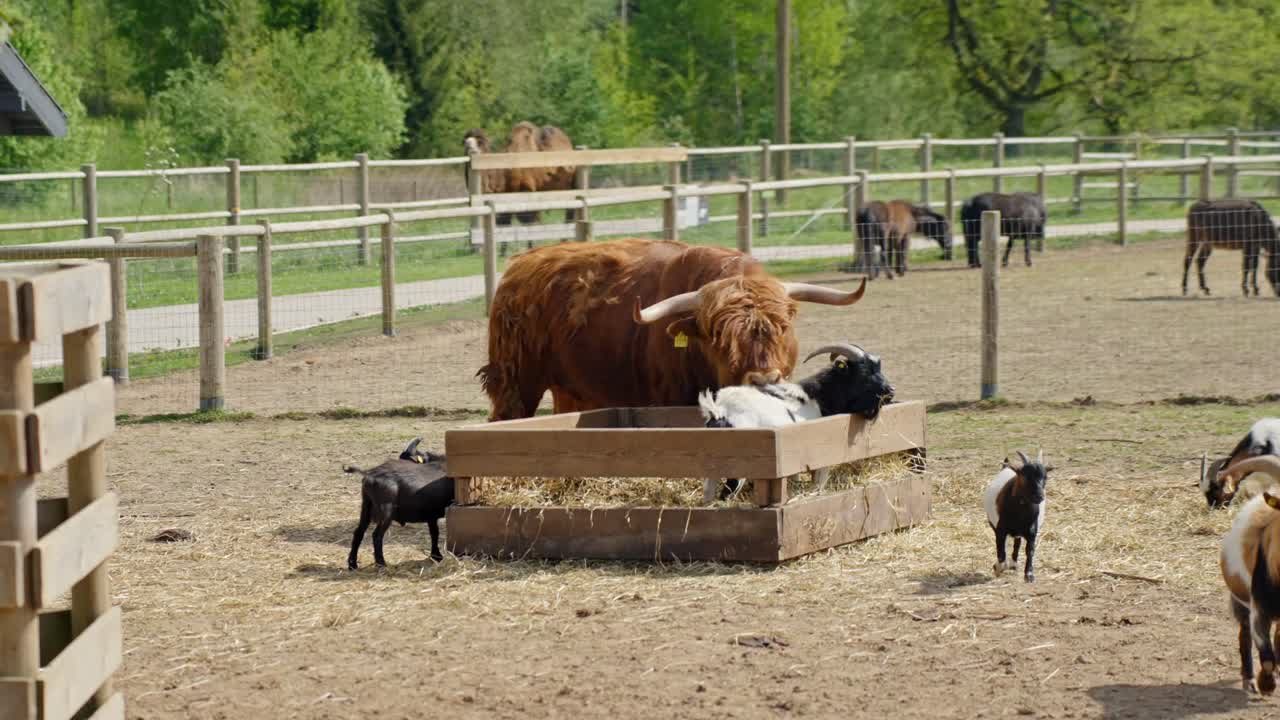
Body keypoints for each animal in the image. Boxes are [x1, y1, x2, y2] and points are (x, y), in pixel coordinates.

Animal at [477, 238, 867, 421]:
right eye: (718, 336)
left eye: (782, 327)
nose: (763, 379)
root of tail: (521, 264)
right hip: (517, 381)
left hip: (573, 389)